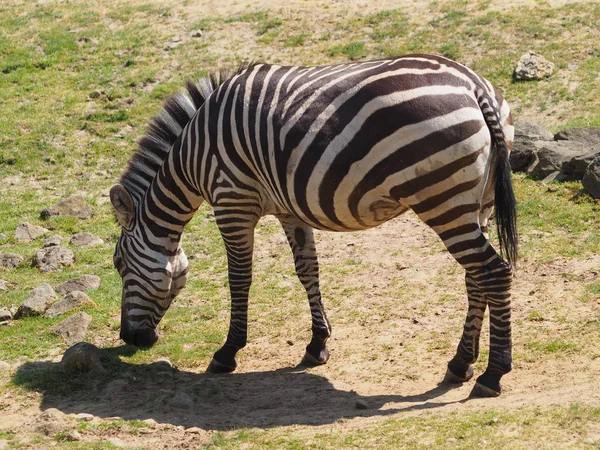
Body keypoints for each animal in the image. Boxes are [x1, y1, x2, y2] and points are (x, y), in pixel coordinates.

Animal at [111, 55, 516, 398]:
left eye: (119, 265)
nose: (129, 338)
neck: (192, 156)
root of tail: (472, 85)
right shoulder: (288, 210)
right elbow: (308, 270)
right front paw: (317, 345)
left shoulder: (232, 201)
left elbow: (239, 278)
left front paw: (227, 352)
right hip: (476, 204)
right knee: (476, 277)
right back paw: (461, 363)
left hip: (442, 199)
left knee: (494, 273)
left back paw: (493, 374)